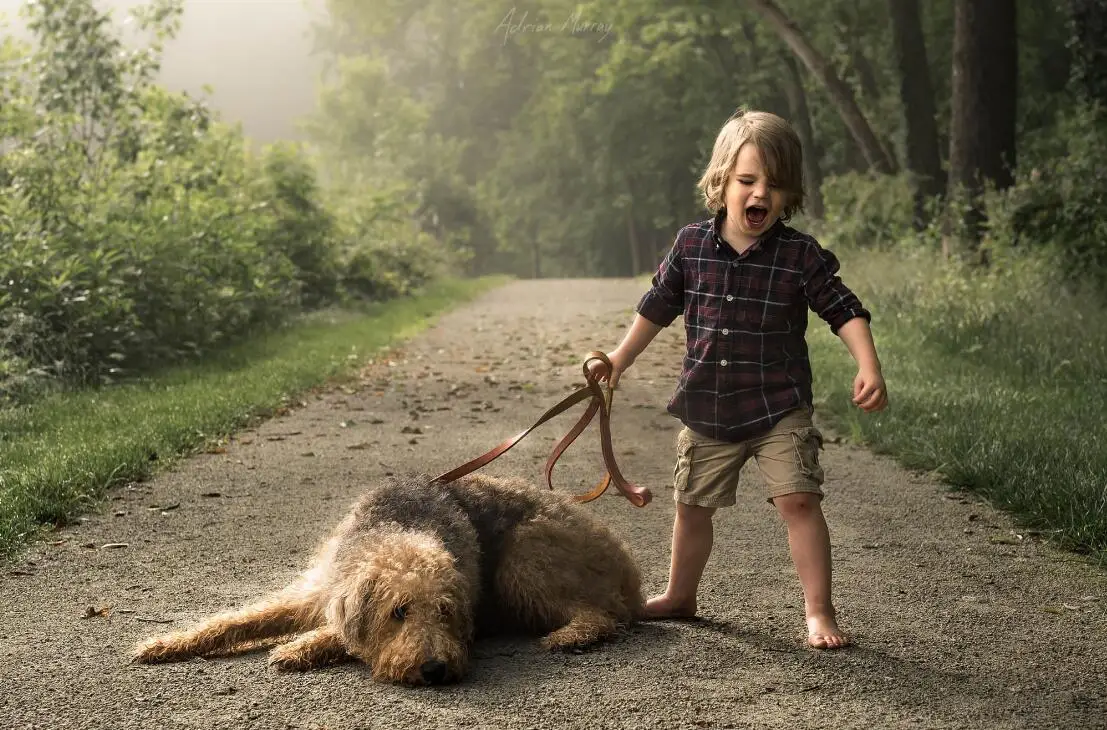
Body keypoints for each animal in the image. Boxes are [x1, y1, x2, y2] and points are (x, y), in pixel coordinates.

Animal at [132, 474, 646, 686]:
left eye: (446, 612)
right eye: (398, 611)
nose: (435, 671)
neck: (397, 530)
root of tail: (629, 569)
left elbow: (337, 635)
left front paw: (298, 649)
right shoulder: (318, 590)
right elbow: (237, 619)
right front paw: (164, 644)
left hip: (522, 560)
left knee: (603, 615)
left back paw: (571, 635)